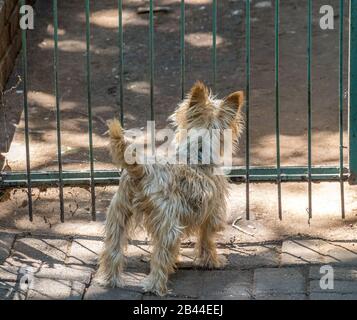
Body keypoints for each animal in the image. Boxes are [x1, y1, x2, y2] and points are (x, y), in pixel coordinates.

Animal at [97, 80, 243, 296]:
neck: (198, 151)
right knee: (160, 254)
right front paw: (212, 262)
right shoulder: (212, 213)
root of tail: (141, 171)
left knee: (113, 249)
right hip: (167, 225)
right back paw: (154, 286)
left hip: (118, 217)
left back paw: (111, 280)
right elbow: (207, 240)